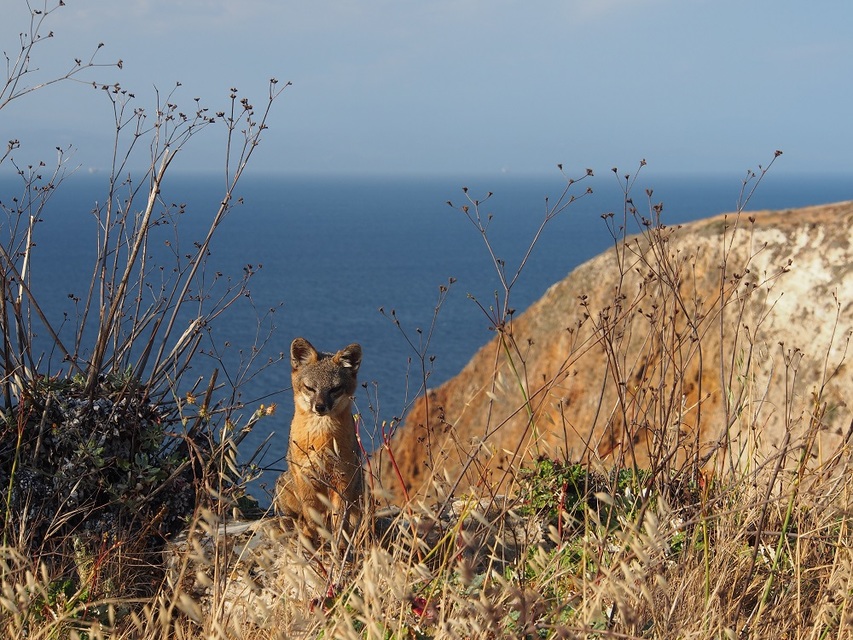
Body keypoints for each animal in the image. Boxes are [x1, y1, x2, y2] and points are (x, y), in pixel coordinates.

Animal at [274, 337, 365, 541]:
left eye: (335, 389)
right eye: (310, 388)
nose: (320, 407)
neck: (320, 438)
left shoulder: (342, 478)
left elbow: (340, 518)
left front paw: (338, 542)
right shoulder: (305, 476)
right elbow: (311, 514)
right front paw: (312, 536)